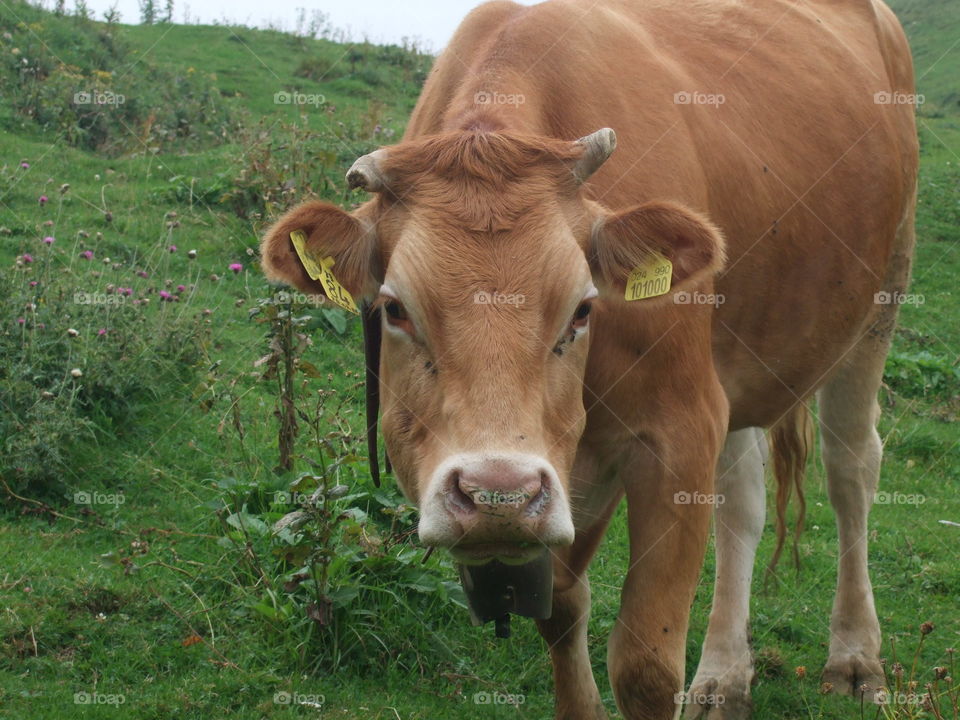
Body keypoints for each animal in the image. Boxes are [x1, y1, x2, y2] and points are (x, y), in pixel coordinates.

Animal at [260, 0, 918, 717]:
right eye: (395, 309)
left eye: (582, 309)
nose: (497, 495)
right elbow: (561, 611)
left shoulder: (679, 429)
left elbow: (645, 665)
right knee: (743, 501)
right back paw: (722, 677)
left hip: (880, 297)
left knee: (851, 470)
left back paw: (854, 658)